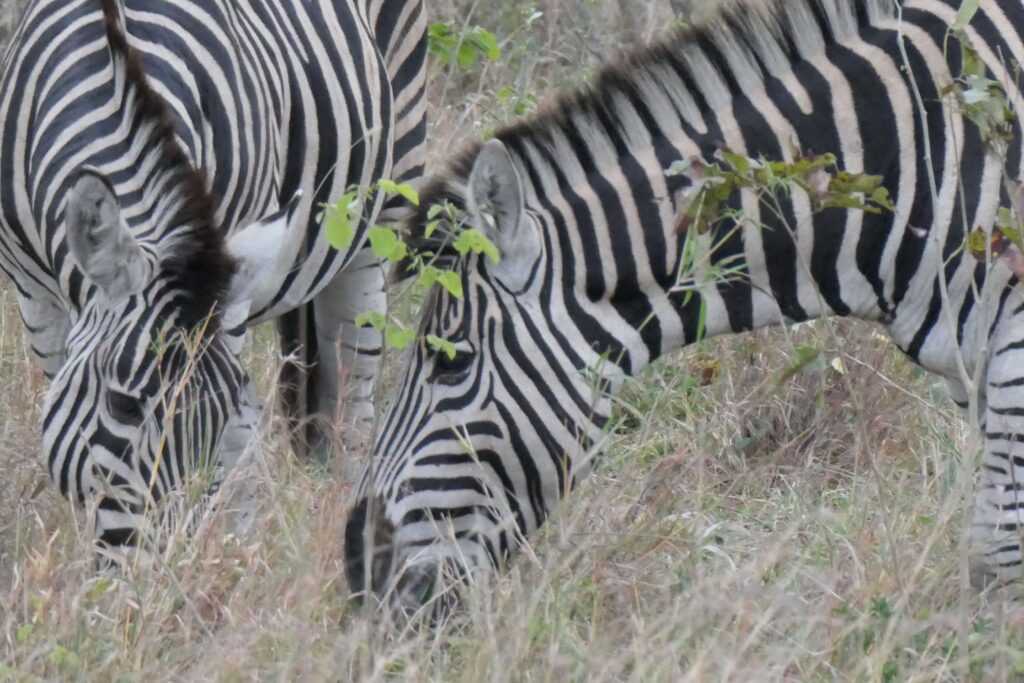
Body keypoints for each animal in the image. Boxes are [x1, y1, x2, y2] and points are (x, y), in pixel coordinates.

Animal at [0, 0, 426, 558]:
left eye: (219, 411)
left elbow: (234, 452)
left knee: (354, 399)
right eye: (122, 405)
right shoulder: (35, 296)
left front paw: (222, 547)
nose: (156, 567)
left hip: (384, 209)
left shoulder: (226, 267)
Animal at [345, 0, 1024, 616]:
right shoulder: (974, 367)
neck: (919, 159)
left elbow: (997, 555)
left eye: (451, 361)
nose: (358, 567)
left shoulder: (1010, 353)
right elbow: (991, 550)